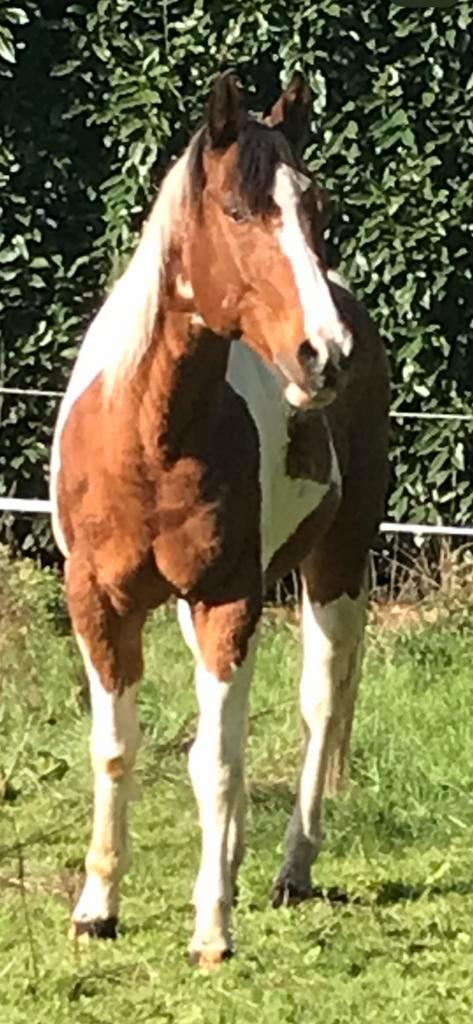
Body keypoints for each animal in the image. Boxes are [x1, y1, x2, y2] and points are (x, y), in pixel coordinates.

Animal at [50, 70, 389, 967]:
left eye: (316, 207)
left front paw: (210, 926)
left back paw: (288, 869)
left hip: (333, 565)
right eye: (238, 212)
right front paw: (96, 908)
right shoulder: (98, 604)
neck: (146, 435)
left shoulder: (226, 600)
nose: (324, 353)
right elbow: (115, 749)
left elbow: (220, 765)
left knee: (318, 705)